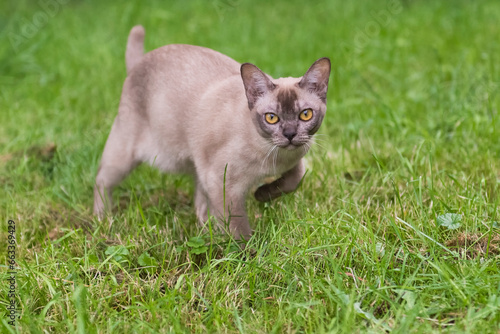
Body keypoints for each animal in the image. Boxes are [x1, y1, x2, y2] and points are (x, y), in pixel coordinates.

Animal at [94, 26, 332, 240]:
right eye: (272, 118)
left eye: (305, 115)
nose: (290, 134)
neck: (273, 156)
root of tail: (139, 62)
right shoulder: (223, 184)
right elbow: (239, 231)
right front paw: (250, 256)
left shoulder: (295, 158)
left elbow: (295, 178)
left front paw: (261, 195)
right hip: (124, 157)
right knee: (101, 180)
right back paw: (103, 220)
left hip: (198, 164)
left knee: (200, 205)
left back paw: (206, 232)